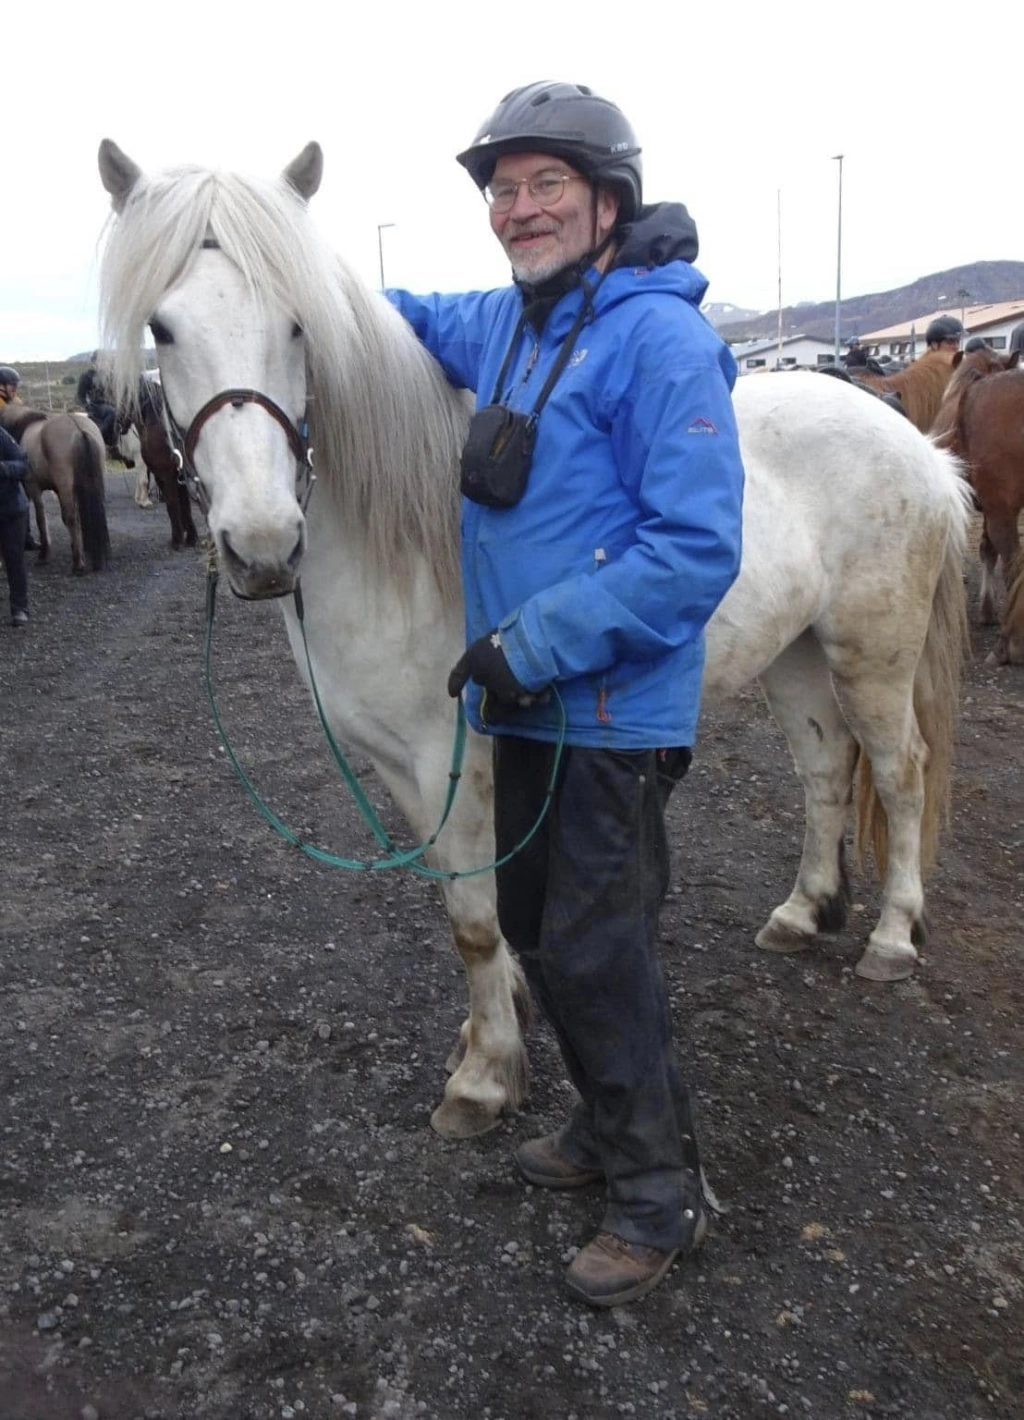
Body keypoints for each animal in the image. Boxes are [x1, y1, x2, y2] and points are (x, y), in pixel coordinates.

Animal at [0, 404, 110, 574]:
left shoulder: (34, 487)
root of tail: (79, 429)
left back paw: (78, 564)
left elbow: (41, 518)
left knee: (72, 518)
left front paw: (44, 553)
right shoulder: (58, 491)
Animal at [96, 138, 970, 1139]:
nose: (265, 545)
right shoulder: (401, 769)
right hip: (795, 657)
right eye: (162, 329)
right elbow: (459, 900)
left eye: (299, 325)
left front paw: (485, 1077)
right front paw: (496, 1023)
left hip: (873, 655)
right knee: (826, 769)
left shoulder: (456, 755)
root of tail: (918, 445)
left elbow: (475, 920)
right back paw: (801, 912)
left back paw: (894, 935)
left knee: (901, 775)